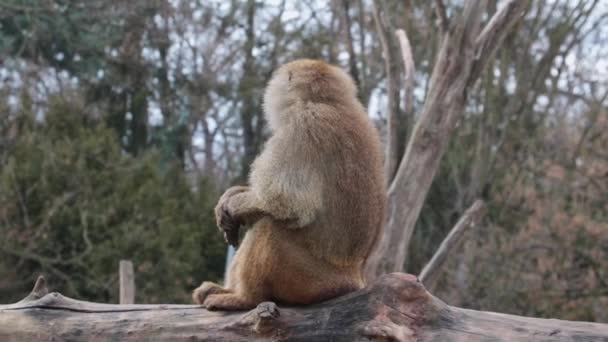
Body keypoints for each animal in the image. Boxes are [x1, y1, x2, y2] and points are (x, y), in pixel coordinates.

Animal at [192, 58, 388, 310]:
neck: (327, 102)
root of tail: (354, 277)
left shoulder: (301, 126)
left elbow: (286, 202)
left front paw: (234, 205)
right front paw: (232, 195)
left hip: (312, 281)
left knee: (269, 226)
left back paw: (245, 298)